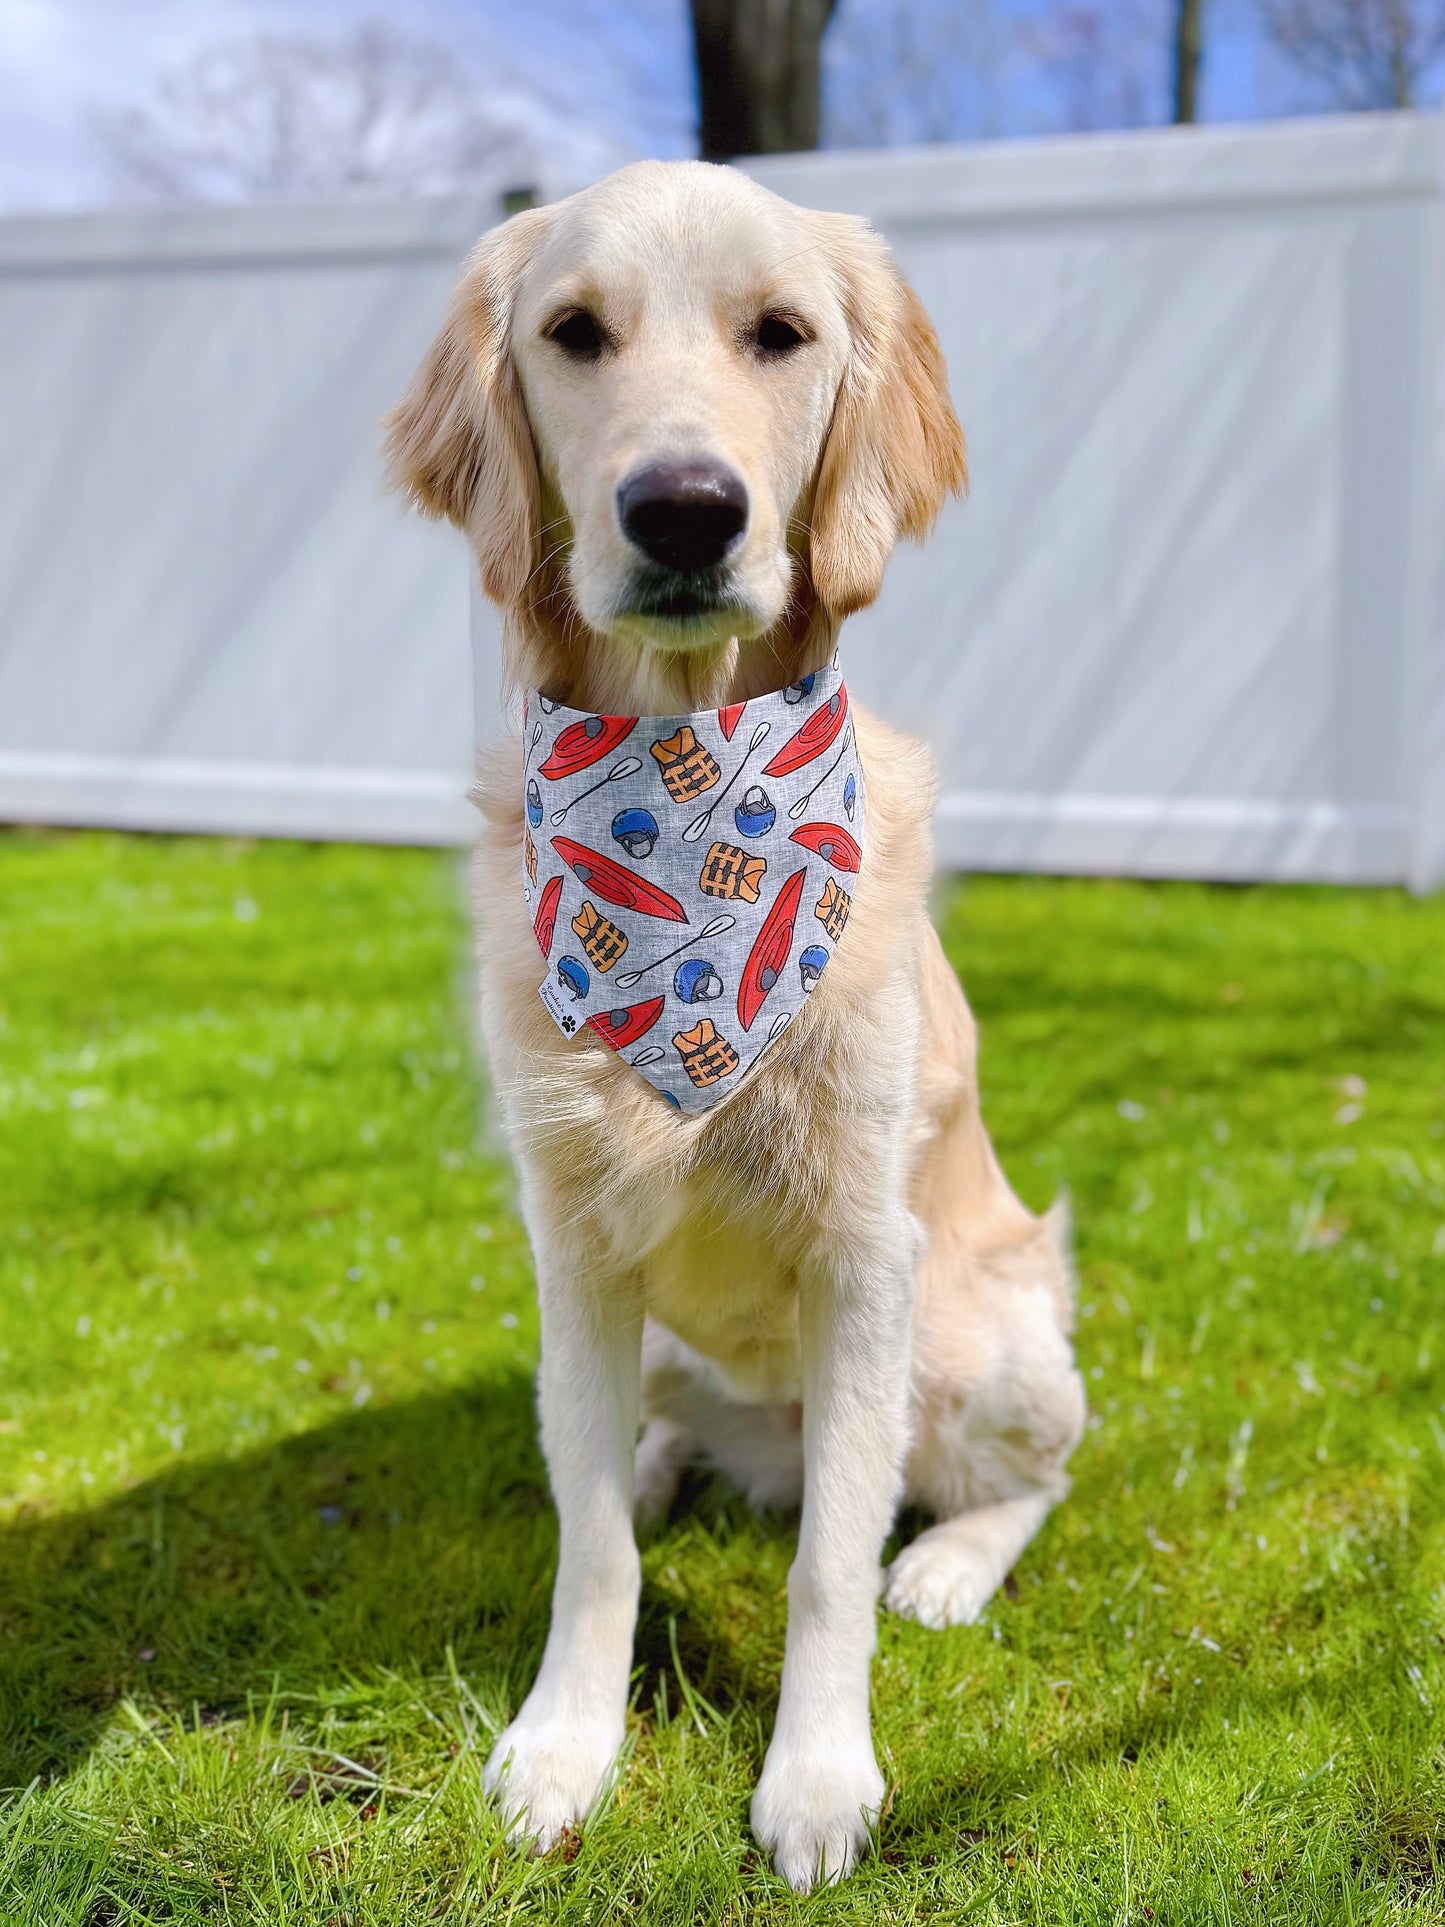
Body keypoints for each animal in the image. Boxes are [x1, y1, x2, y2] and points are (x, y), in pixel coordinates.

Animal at [385, 158, 1086, 1888]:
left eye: (780, 333)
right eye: (574, 332)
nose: (686, 509)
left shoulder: (865, 1255)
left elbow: (831, 1559)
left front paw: (819, 1776)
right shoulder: (574, 1243)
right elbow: (590, 1546)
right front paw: (566, 1744)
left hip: (988, 1330)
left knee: (1016, 1476)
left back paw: (950, 1561)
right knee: (640, 1451)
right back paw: (655, 1460)